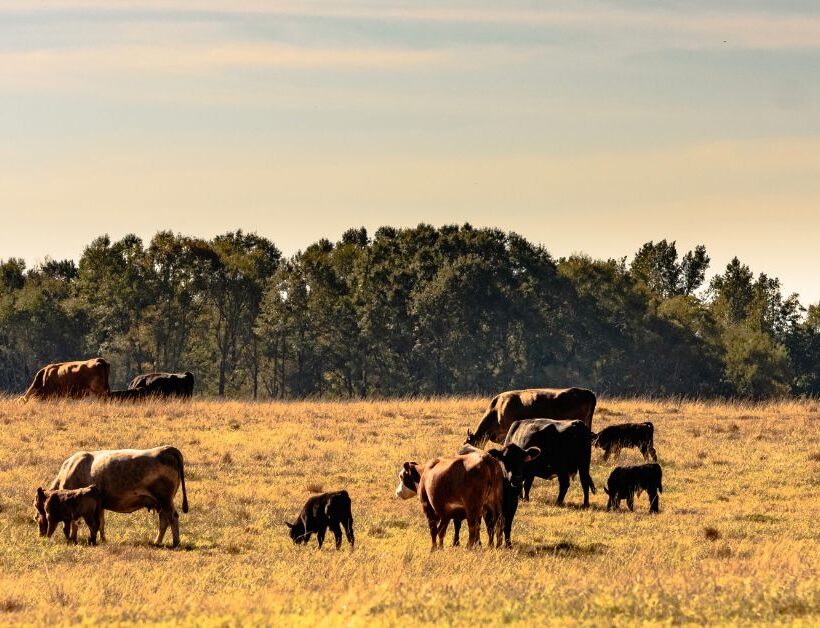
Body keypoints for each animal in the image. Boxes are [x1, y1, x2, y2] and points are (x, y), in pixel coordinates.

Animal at [42, 446, 189, 544]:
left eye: (41, 513)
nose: (41, 534)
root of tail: (167, 449)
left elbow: (75, 523)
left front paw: (74, 539)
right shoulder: (99, 505)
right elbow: (101, 523)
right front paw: (103, 539)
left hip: (165, 500)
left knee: (172, 517)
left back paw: (175, 542)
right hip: (161, 502)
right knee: (164, 520)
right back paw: (157, 542)